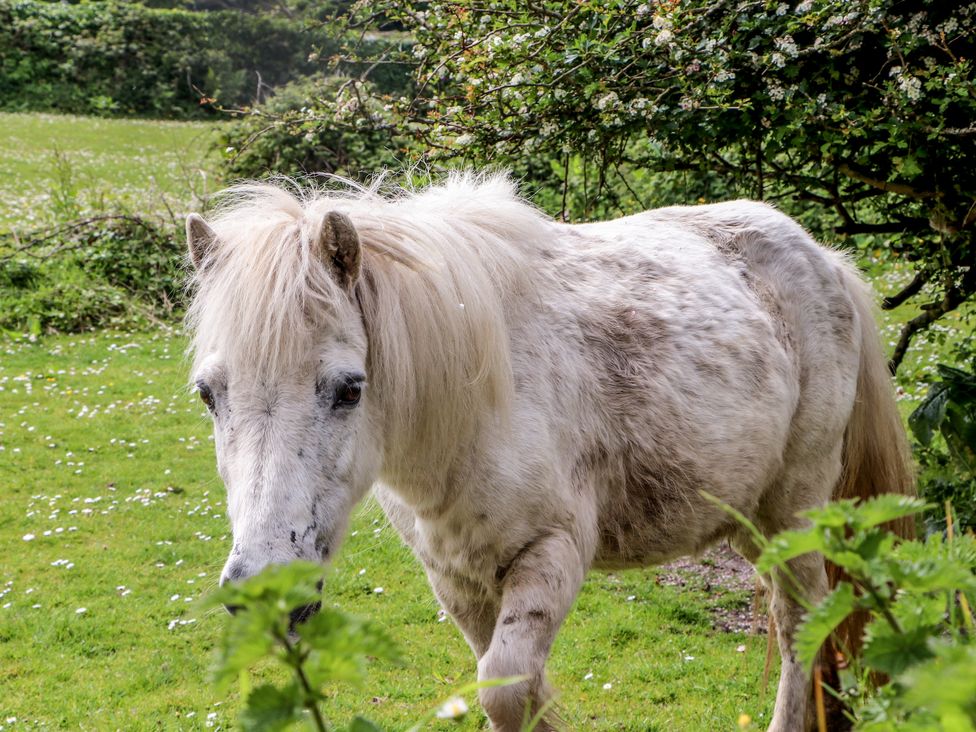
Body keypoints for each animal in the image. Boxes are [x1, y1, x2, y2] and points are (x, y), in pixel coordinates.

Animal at [185, 173, 916, 732]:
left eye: (348, 388)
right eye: (207, 394)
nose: (264, 594)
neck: (479, 402)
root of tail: (823, 257)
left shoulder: (551, 554)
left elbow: (509, 687)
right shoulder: (458, 579)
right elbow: (507, 688)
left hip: (795, 509)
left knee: (801, 626)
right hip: (747, 518)